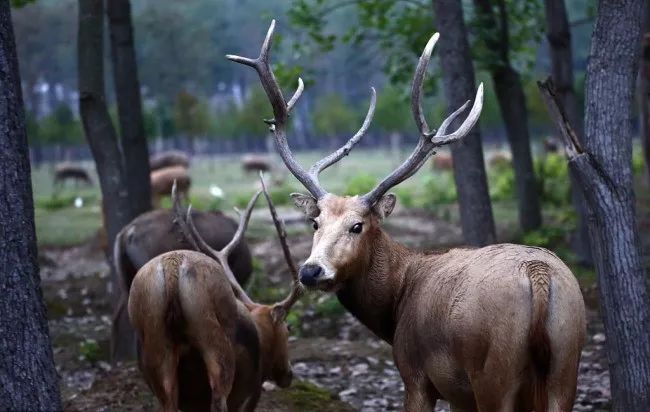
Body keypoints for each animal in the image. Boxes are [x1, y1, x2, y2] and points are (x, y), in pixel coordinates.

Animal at [130, 178, 306, 412]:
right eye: (288, 329)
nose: (288, 373)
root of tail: (172, 270)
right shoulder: (250, 394)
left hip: (157, 352)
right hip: (215, 343)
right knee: (218, 398)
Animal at [228, 21, 584, 412]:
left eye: (357, 226)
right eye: (315, 222)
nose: (310, 271)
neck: (394, 306)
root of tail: (539, 278)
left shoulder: (416, 375)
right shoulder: (460, 395)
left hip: (494, 374)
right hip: (565, 365)